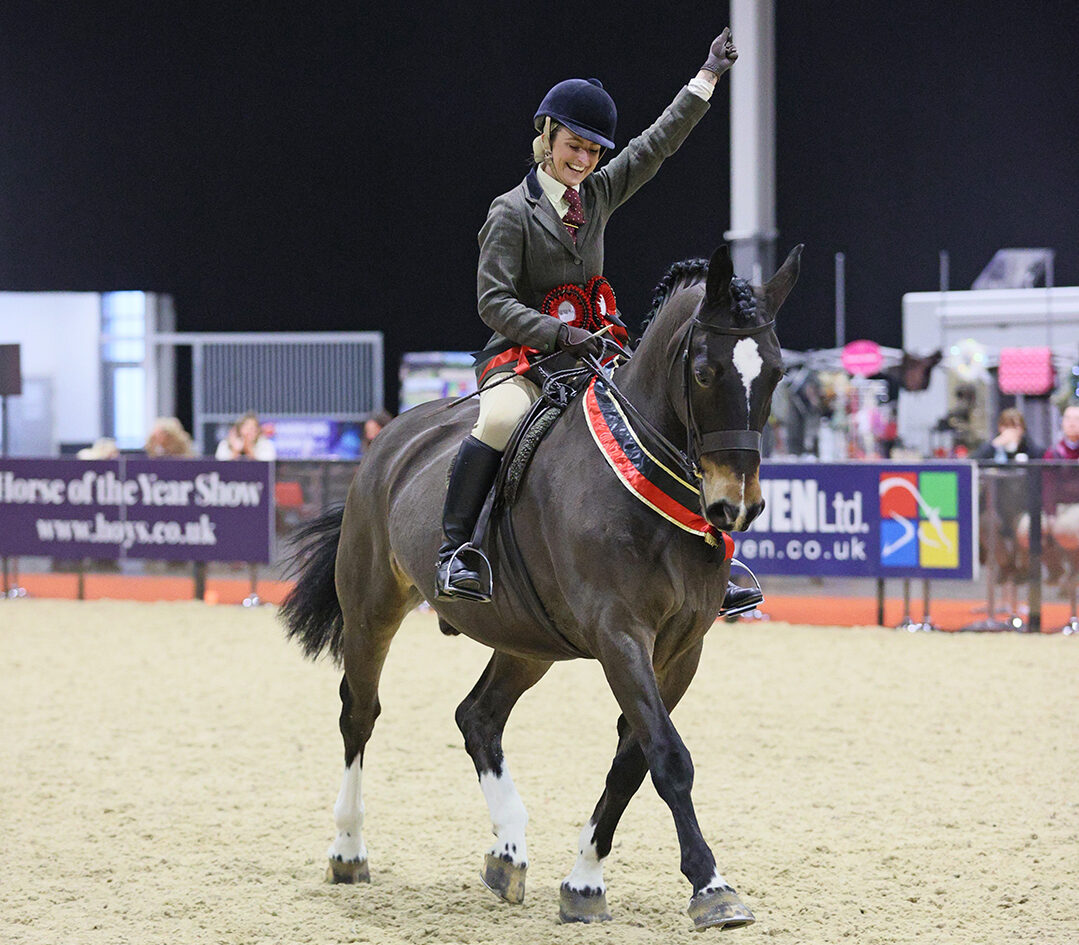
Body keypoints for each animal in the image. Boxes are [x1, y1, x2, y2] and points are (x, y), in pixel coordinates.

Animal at [280, 242, 801, 931]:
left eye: (775, 373)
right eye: (705, 372)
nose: (733, 506)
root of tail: (391, 438)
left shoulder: (682, 649)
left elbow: (633, 759)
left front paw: (584, 882)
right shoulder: (619, 635)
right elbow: (668, 756)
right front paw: (711, 886)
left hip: (527, 640)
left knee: (478, 716)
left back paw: (507, 851)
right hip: (371, 609)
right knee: (358, 714)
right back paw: (348, 849)